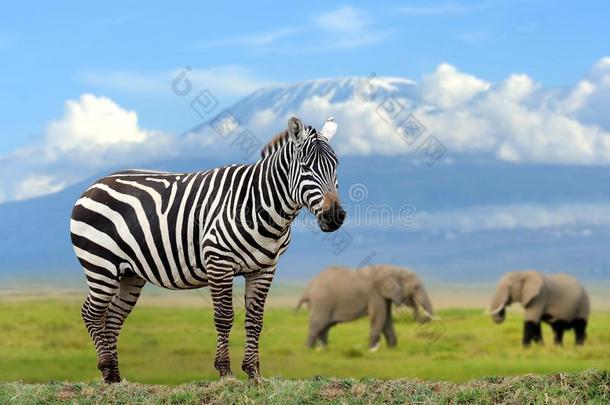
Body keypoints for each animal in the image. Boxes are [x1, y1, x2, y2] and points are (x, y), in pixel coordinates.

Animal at [69, 115, 344, 380]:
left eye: (336, 166)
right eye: (306, 167)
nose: (334, 216)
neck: (260, 206)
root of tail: (94, 184)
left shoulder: (265, 269)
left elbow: (255, 320)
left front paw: (254, 373)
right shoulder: (219, 262)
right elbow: (224, 317)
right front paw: (225, 372)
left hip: (130, 273)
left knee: (113, 318)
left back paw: (115, 379)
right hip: (101, 265)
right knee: (91, 313)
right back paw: (106, 368)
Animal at [296, 264, 432, 348]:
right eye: (416, 287)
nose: (411, 302)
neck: (393, 268)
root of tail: (308, 289)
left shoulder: (384, 297)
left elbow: (387, 320)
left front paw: (392, 349)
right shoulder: (375, 294)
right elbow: (379, 318)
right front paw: (372, 349)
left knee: (325, 327)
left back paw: (323, 349)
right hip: (322, 302)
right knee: (318, 324)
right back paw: (309, 349)